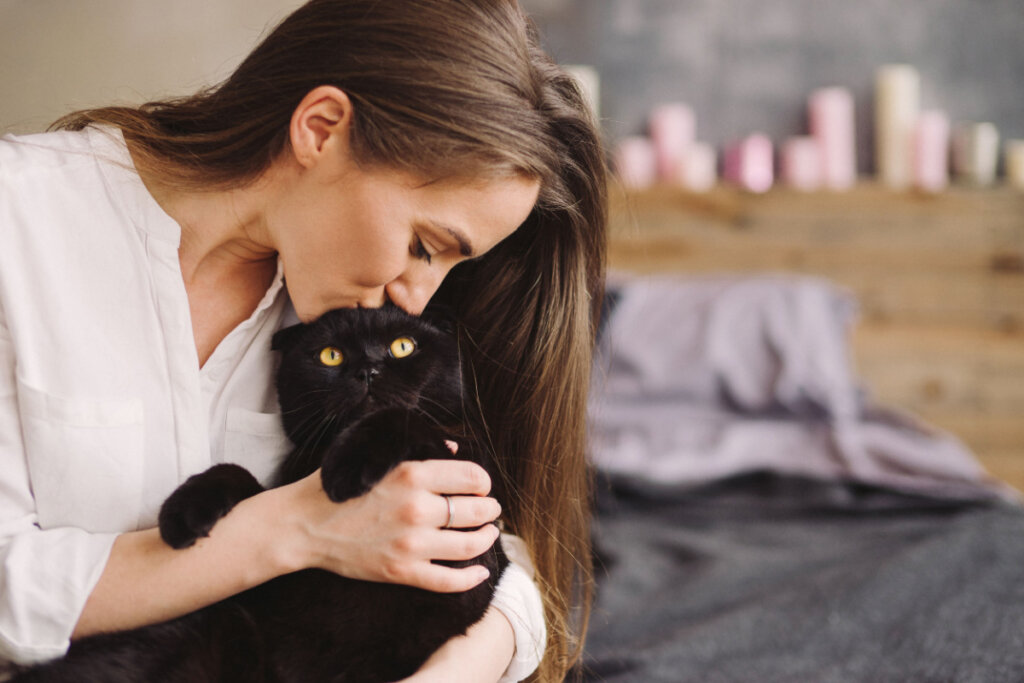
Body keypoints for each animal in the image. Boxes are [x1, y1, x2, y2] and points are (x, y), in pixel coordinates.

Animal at [14, 305, 509, 683]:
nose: (367, 370)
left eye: (403, 346)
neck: (320, 456)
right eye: (331, 355)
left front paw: (346, 470)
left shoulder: (467, 546)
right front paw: (183, 510)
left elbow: (404, 418)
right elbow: (241, 477)